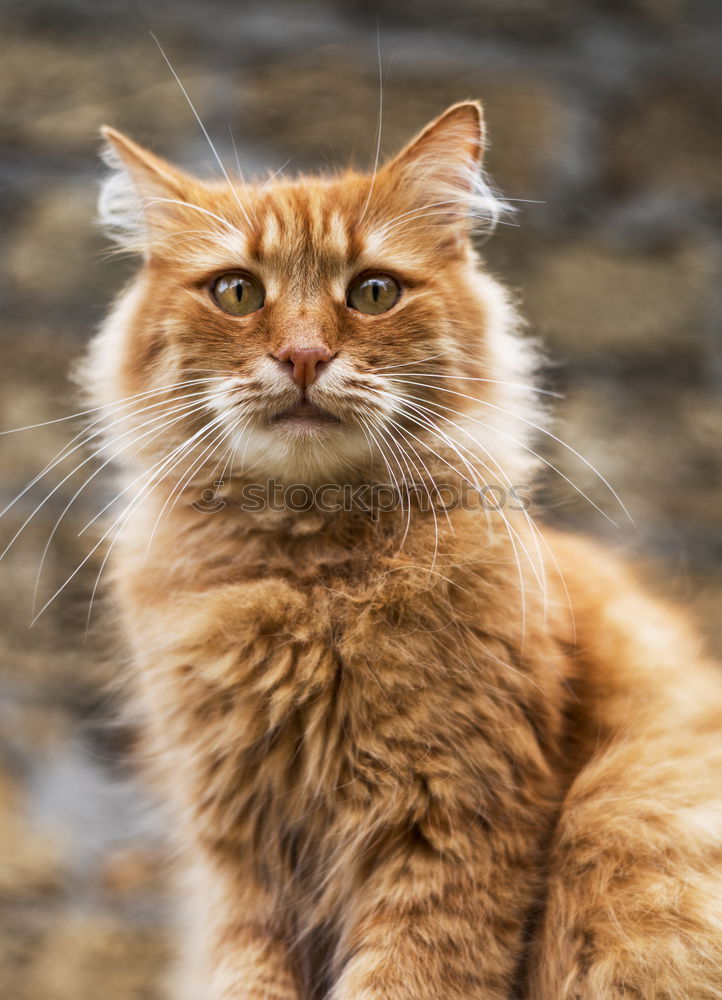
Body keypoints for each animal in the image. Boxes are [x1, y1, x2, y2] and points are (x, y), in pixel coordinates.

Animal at [83, 103, 720, 1000]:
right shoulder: (238, 860)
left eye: (373, 292)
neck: (310, 579)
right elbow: (246, 975)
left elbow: (405, 976)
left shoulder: (451, 823)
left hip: (620, 814)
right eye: (237, 292)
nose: (304, 356)